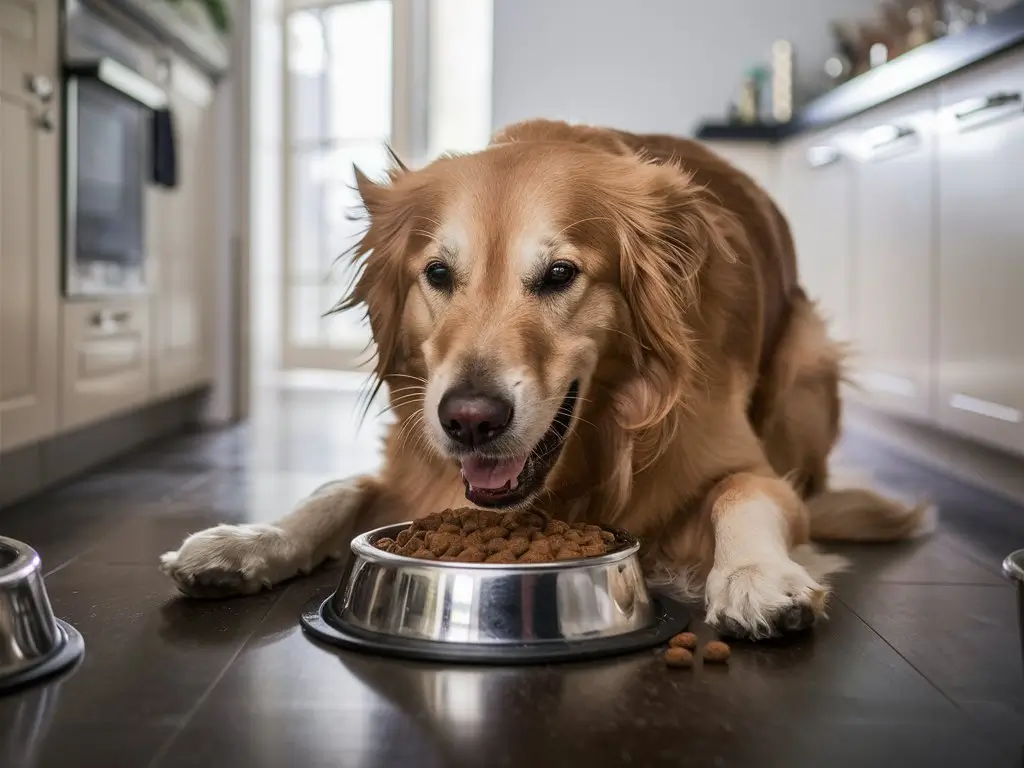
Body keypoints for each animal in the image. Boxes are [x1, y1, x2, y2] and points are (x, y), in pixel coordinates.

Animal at [155, 118, 933, 638]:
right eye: (438, 274)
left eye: (560, 274)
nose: (469, 419)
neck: (592, 451)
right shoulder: (416, 466)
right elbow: (334, 491)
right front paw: (244, 541)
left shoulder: (743, 461)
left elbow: (744, 491)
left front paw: (756, 577)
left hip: (808, 358)